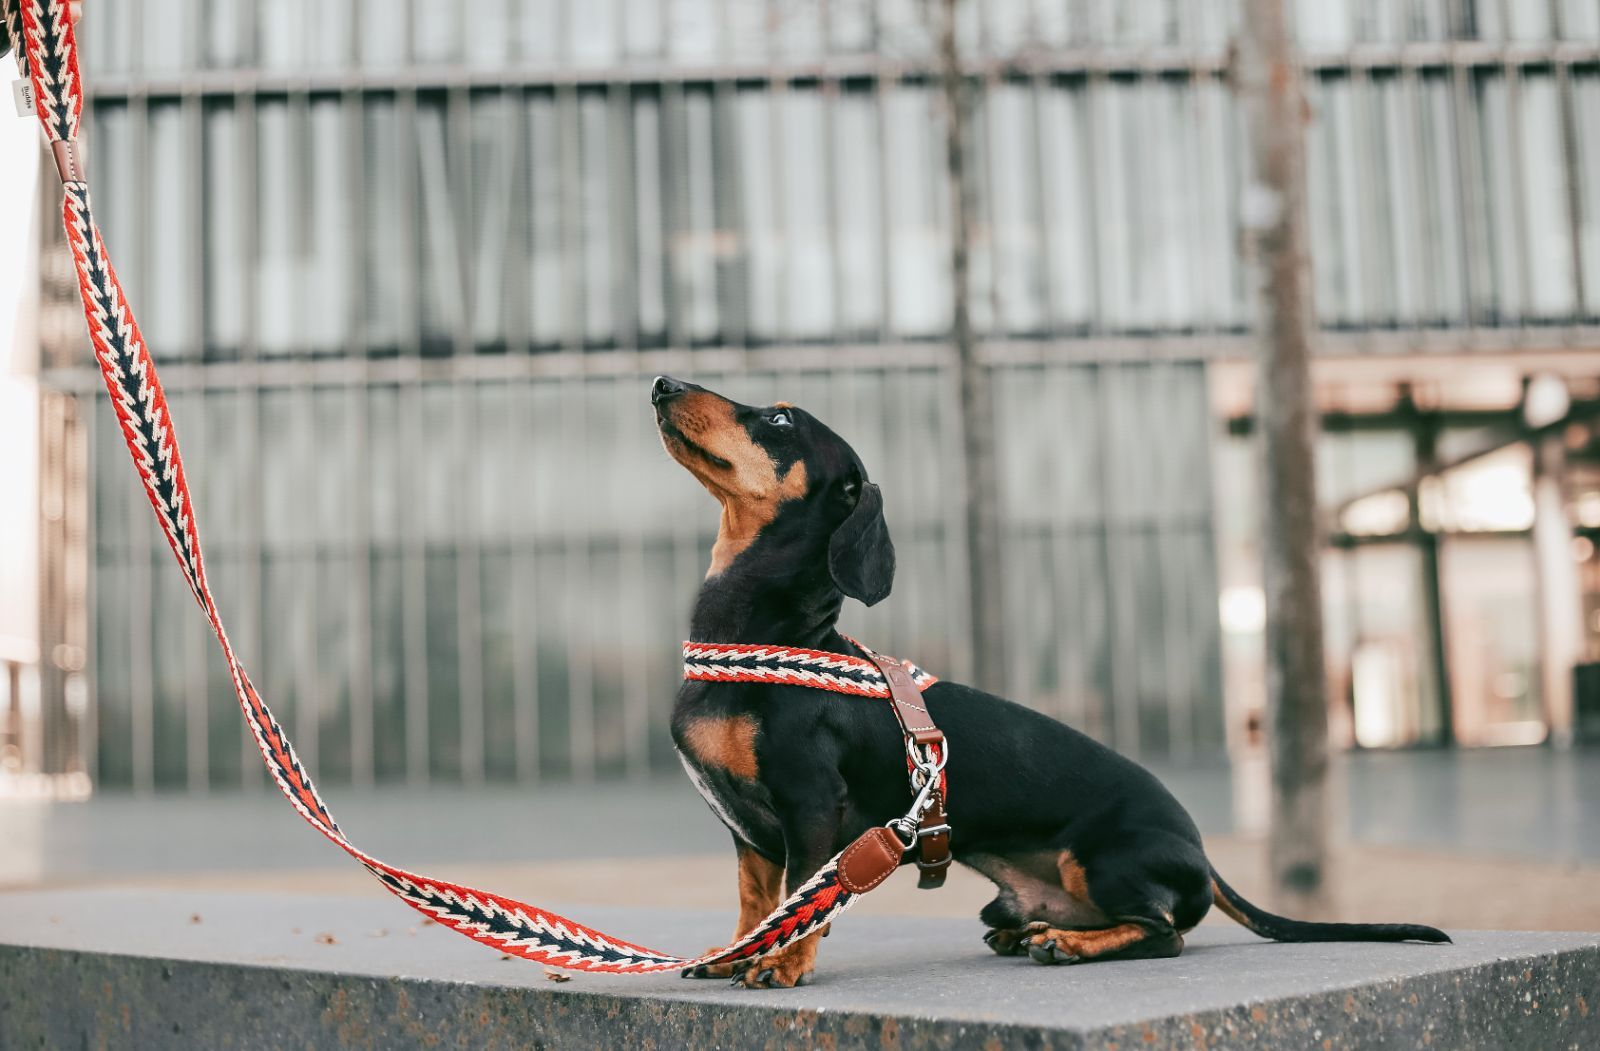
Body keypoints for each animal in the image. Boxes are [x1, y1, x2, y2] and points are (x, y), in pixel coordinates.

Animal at [649, 377, 1452, 985]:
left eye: (781, 418)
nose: (663, 383)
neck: (765, 639)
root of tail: (1203, 855)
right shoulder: (750, 834)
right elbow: (758, 902)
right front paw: (735, 953)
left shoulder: (811, 806)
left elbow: (799, 903)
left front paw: (780, 964)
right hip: (1015, 897)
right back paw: (1034, 932)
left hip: (1101, 858)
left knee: (1164, 932)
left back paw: (1068, 944)